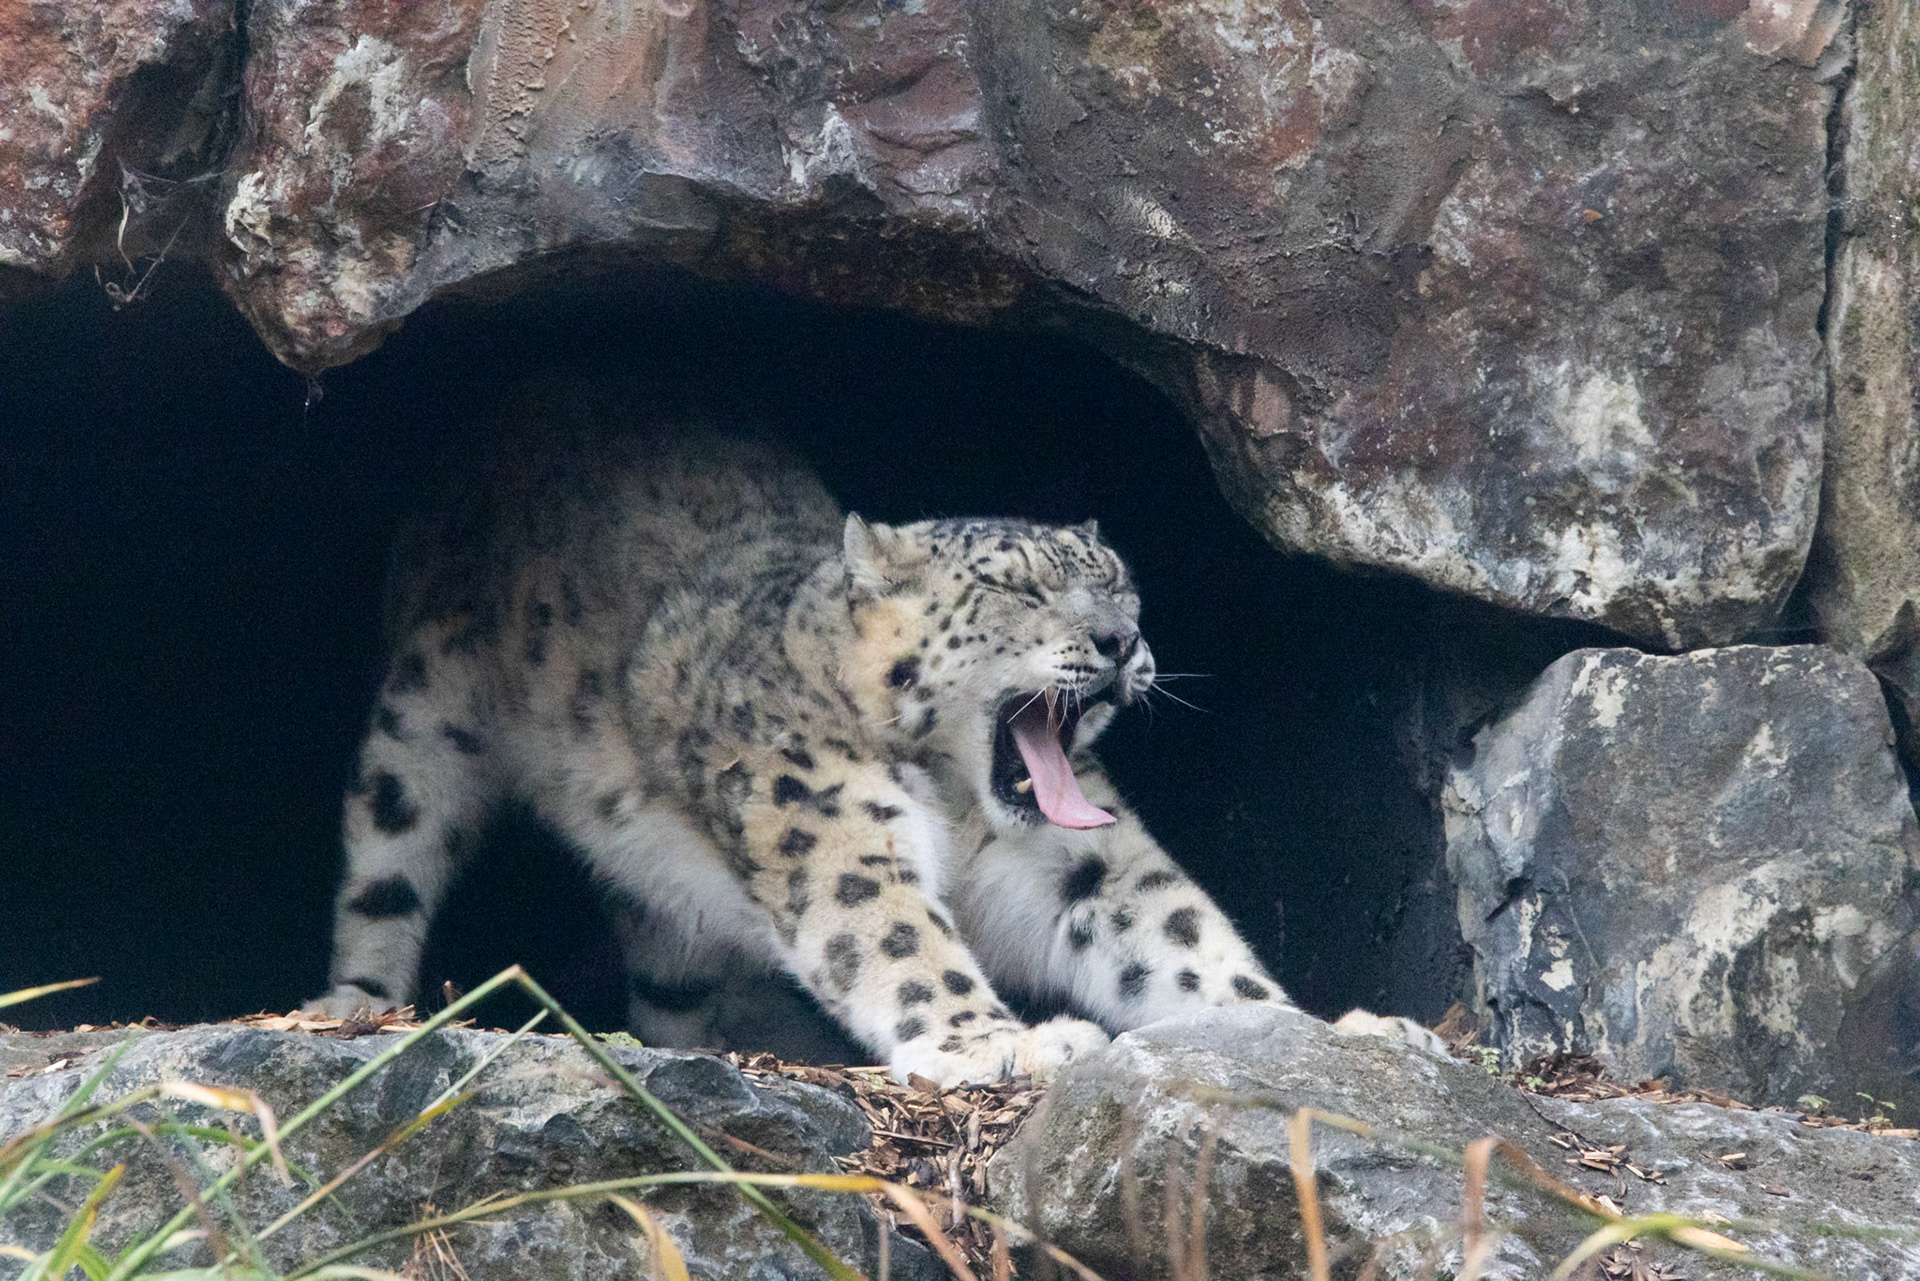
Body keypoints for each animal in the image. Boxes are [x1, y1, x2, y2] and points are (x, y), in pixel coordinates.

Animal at [308, 405, 1436, 1084]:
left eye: (1120, 582)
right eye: (1017, 586)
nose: (1121, 641)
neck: (960, 793)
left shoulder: (1082, 863)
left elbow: (1175, 935)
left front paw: (1337, 1030)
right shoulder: (832, 832)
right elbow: (901, 943)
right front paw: (1007, 1046)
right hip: (421, 718)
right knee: (388, 859)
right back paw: (354, 1002)